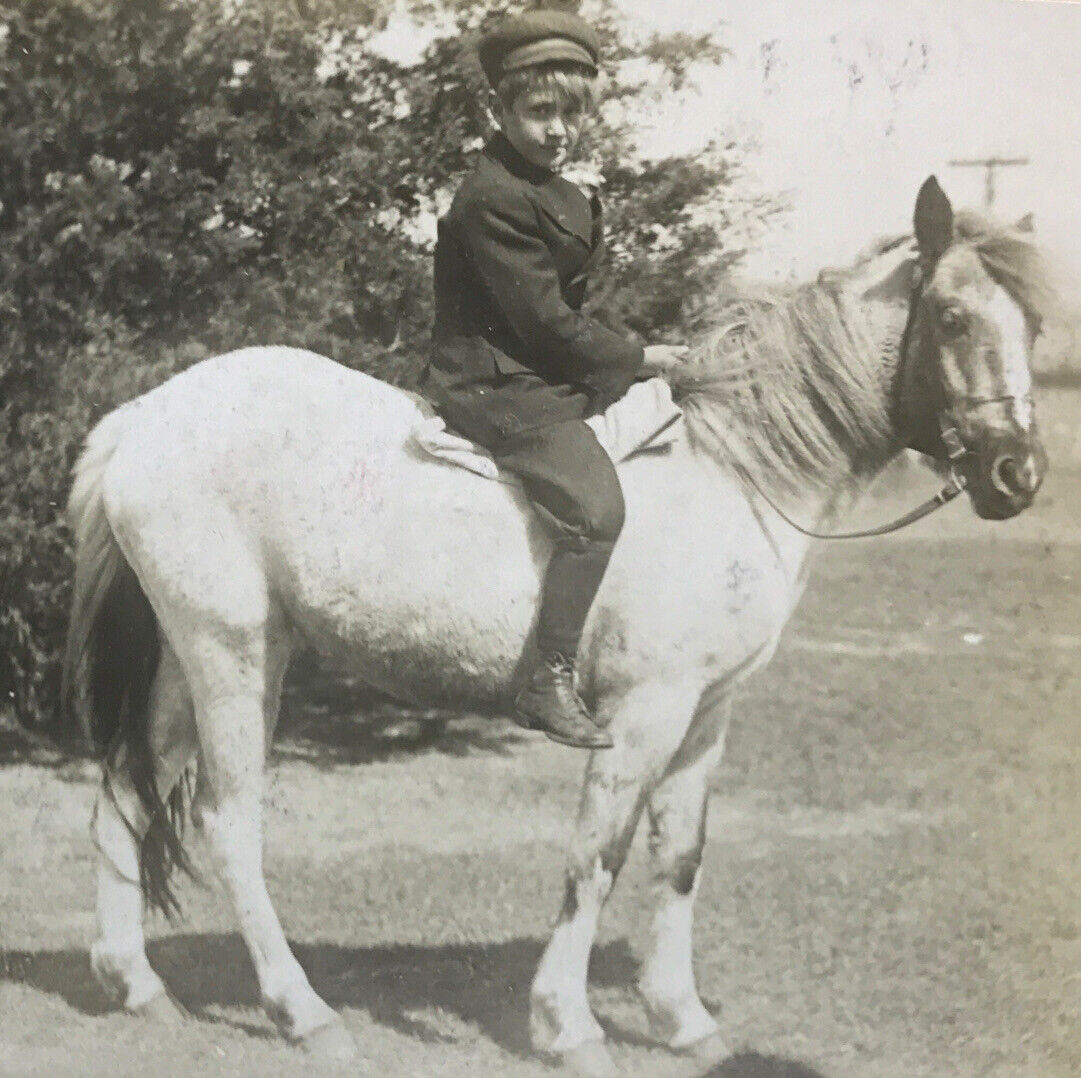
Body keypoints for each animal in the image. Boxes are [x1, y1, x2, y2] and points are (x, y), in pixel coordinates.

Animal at [62, 177, 1055, 1075]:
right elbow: (597, 858)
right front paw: (567, 1026)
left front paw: (683, 1022)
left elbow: (679, 859)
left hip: (185, 657)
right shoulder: (644, 713)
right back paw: (302, 1013)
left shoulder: (706, 715)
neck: (733, 466)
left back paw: (136, 986)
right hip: (234, 653)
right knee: (230, 821)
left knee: (123, 791)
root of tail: (143, 417)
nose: (1017, 476)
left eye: (1033, 330)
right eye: (952, 319)